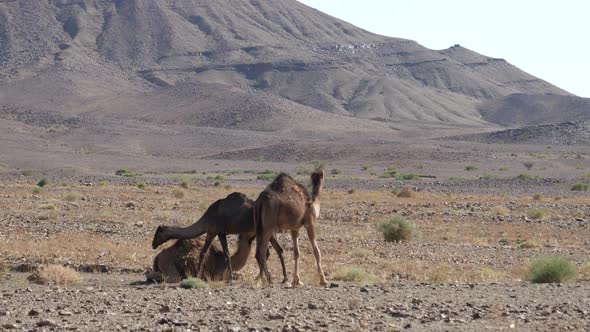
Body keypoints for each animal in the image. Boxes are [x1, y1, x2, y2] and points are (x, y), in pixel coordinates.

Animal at [151, 192, 288, 282]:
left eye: (157, 233)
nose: (153, 245)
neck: (206, 218)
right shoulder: (218, 232)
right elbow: (224, 252)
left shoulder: (214, 231)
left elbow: (207, 252)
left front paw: (198, 275)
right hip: (265, 231)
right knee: (277, 250)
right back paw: (282, 278)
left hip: (263, 230)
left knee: (269, 251)